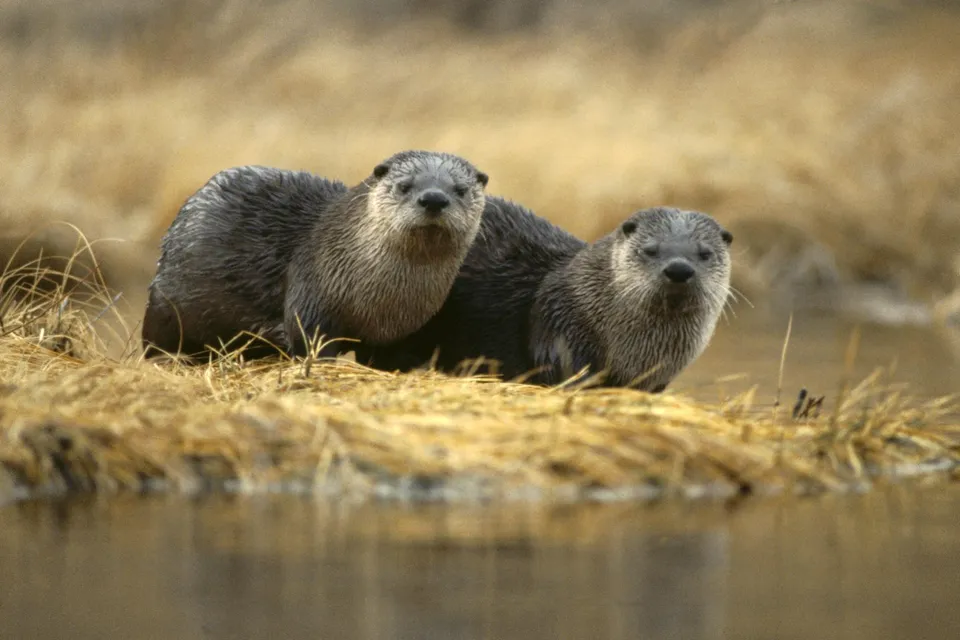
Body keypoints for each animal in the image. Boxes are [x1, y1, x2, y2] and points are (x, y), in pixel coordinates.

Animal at [141, 150, 489, 360]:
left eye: (460, 190)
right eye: (405, 186)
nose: (433, 199)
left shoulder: (398, 333)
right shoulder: (311, 292)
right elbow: (310, 342)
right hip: (164, 305)